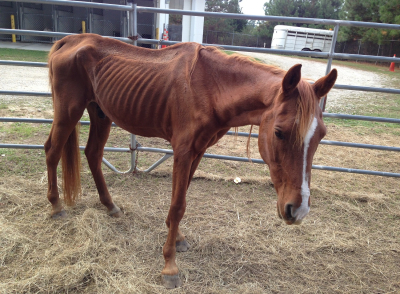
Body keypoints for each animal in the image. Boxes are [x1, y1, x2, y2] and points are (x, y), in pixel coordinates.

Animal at [45, 33, 336, 288]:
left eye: (321, 135)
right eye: (279, 132)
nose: (298, 210)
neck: (210, 86)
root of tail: (68, 41)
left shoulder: (198, 151)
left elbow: (182, 198)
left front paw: (177, 239)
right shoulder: (183, 152)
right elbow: (177, 205)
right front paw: (169, 266)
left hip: (100, 113)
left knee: (93, 155)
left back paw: (110, 206)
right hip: (68, 112)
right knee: (52, 152)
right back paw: (56, 206)